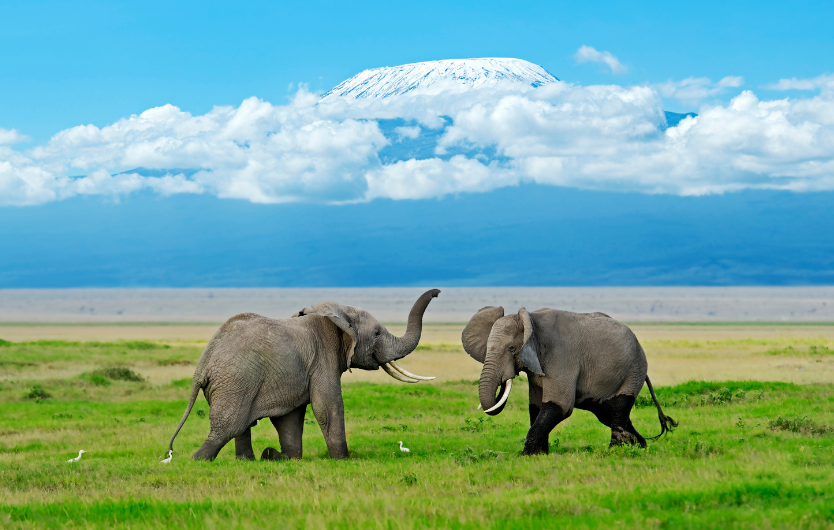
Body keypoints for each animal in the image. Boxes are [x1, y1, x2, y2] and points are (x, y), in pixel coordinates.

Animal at [169, 288, 442, 458]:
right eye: (376, 334)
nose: (438, 292)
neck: (339, 315)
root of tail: (204, 363)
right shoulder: (323, 357)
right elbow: (328, 406)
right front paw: (342, 459)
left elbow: (290, 417)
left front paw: (284, 456)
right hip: (235, 381)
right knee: (228, 428)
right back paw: (198, 460)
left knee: (241, 427)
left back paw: (253, 459)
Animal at [458, 306, 680, 454]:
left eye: (511, 349)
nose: (504, 380)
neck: (530, 320)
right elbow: (535, 407)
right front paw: (540, 455)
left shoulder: (561, 357)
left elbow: (559, 405)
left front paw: (526, 455)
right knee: (607, 413)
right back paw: (640, 446)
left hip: (633, 370)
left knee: (618, 407)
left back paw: (615, 451)